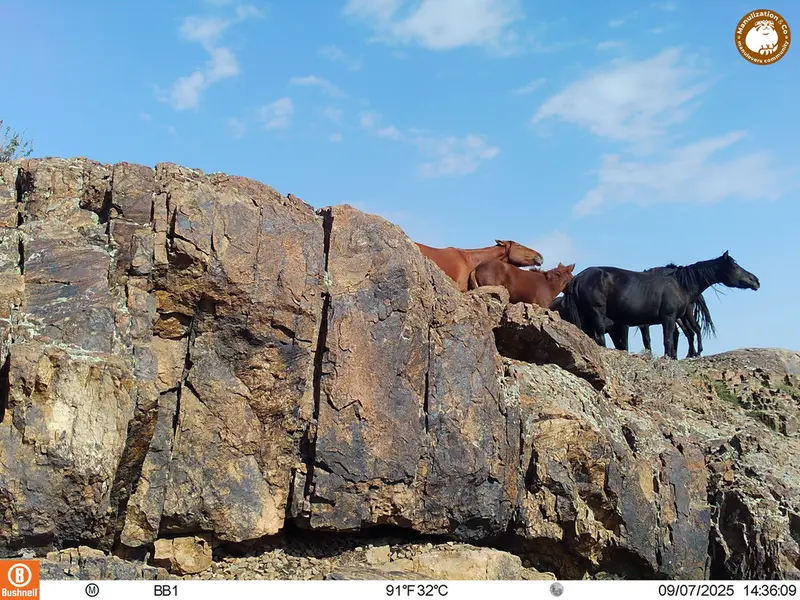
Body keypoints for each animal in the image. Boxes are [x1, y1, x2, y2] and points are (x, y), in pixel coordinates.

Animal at [557, 251, 760, 359]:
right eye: (735, 267)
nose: (755, 280)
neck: (679, 283)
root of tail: (578, 278)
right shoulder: (668, 318)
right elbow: (667, 341)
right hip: (596, 313)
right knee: (599, 337)